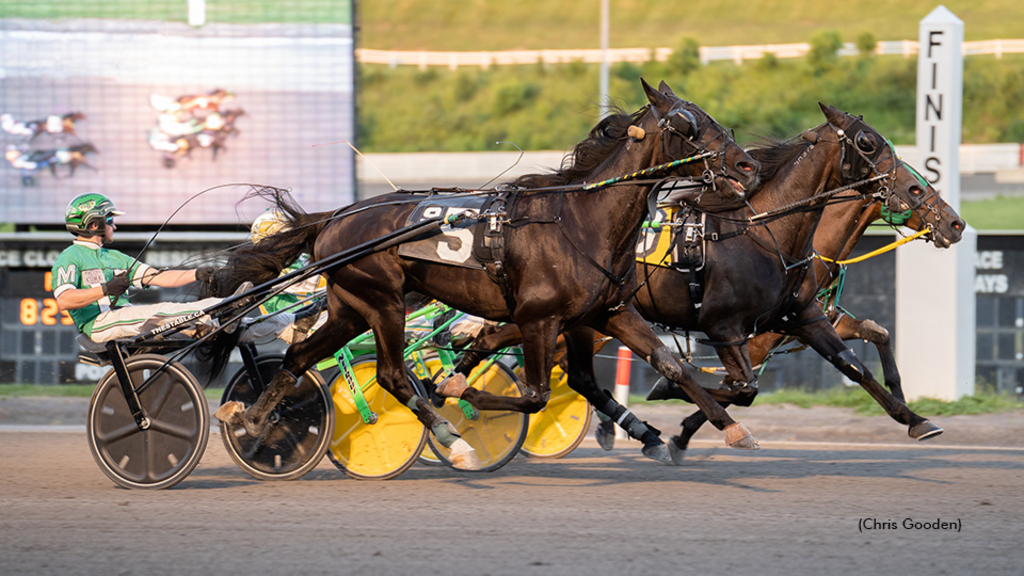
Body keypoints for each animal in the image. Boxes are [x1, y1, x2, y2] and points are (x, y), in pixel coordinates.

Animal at [205, 77, 761, 467]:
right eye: (688, 123)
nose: (747, 165)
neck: (582, 221)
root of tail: (334, 217)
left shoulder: (608, 312)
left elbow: (673, 366)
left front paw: (729, 428)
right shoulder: (539, 319)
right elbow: (534, 397)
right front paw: (454, 389)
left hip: (350, 307)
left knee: (299, 356)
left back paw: (251, 420)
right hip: (384, 303)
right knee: (391, 374)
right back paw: (450, 439)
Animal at [458, 99, 966, 461]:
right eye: (867, 142)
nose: (955, 222)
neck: (764, 232)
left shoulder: (803, 317)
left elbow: (861, 357)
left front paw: (915, 417)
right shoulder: (732, 330)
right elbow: (742, 387)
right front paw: (681, 420)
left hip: (578, 317)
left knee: (523, 353)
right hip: (567, 317)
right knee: (527, 358)